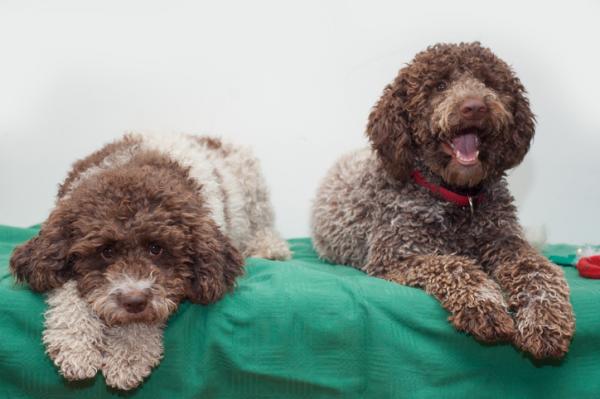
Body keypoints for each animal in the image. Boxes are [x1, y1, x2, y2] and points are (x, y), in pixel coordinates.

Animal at [9, 133, 290, 390]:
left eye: (156, 248)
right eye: (106, 251)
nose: (134, 301)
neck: (133, 164)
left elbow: (144, 319)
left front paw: (128, 356)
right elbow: (69, 292)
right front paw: (75, 345)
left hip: (255, 194)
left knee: (264, 225)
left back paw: (269, 248)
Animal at [312, 43, 576, 360]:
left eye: (488, 82)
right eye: (439, 85)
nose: (475, 106)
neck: (460, 198)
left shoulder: (508, 243)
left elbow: (539, 270)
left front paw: (544, 321)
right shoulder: (397, 258)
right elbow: (455, 266)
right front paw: (485, 307)